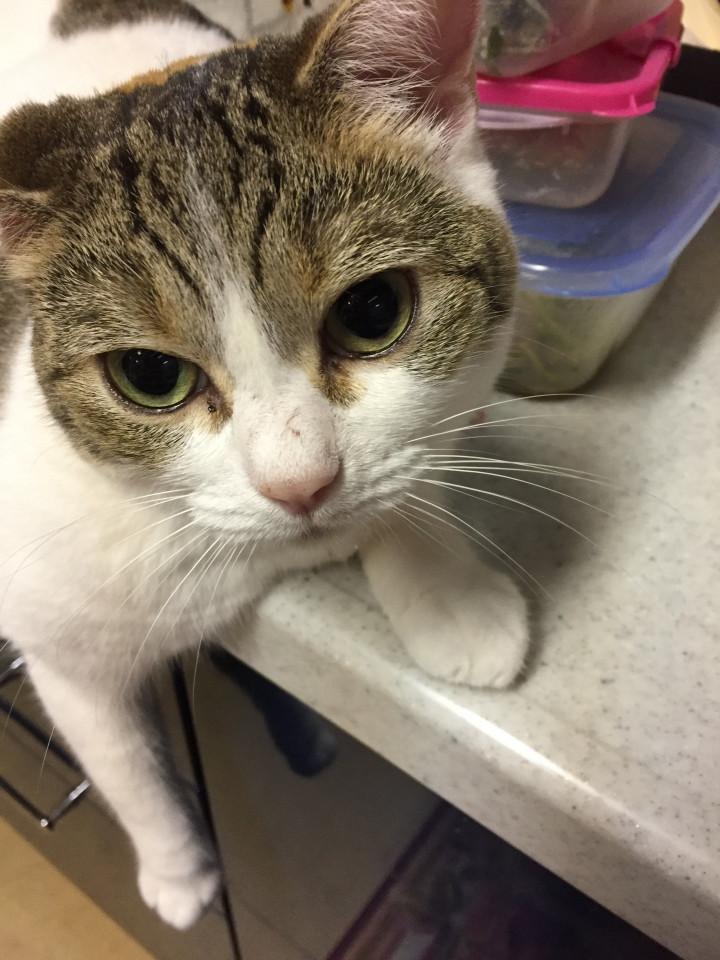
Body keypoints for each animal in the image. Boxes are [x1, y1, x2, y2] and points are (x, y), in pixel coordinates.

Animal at [0, 0, 529, 931]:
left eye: (372, 310)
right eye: (150, 375)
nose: (299, 483)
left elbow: (409, 478)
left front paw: (449, 595)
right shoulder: (49, 606)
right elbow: (113, 747)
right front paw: (176, 870)